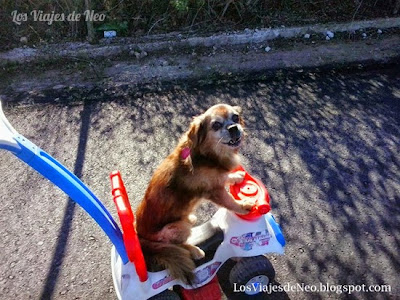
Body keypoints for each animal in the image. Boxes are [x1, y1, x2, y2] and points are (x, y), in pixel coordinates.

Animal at [134, 104, 253, 282]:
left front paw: (235, 177)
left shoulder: (217, 179)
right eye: (216, 125)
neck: (207, 153)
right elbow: (230, 202)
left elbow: (224, 177)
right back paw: (194, 250)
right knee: (175, 245)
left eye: (235, 117)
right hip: (176, 228)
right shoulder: (215, 192)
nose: (233, 128)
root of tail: (139, 238)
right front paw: (244, 206)